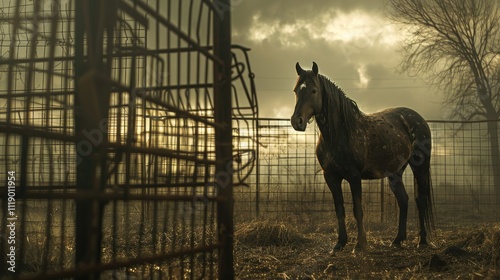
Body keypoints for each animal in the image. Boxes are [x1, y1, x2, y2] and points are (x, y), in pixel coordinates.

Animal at [290, 62, 434, 253]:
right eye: (296, 90)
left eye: (314, 90)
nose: (297, 121)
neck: (338, 133)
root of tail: (419, 119)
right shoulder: (331, 177)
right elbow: (339, 209)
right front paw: (339, 244)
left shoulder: (354, 176)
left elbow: (358, 210)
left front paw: (360, 245)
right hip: (395, 172)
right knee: (403, 200)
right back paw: (397, 240)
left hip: (420, 167)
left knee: (421, 200)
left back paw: (422, 241)